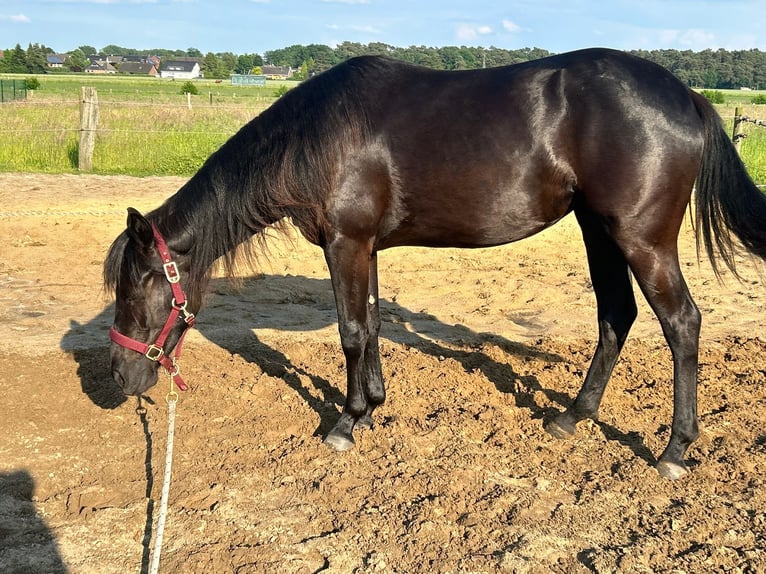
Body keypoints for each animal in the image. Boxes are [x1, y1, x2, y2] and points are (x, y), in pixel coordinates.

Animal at [103, 48, 766, 482]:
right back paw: (572, 418)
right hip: (598, 231)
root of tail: (688, 98)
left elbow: (351, 331)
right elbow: (370, 326)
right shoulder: (365, 247)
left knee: (681, 324)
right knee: (616, 316)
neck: (321, 136)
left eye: (136, 287)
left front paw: (344, 424)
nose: (118, 378)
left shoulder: (345, 243)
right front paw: (372, 407)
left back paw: (675, 451)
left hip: (641, 239)